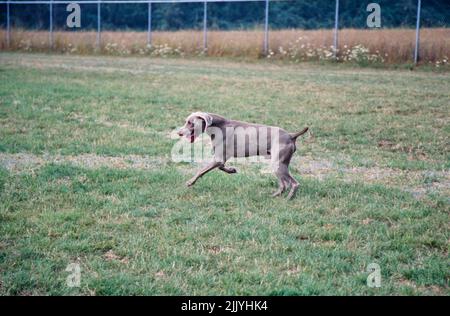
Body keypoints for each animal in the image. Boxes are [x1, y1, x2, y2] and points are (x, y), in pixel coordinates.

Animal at [178, 112, 308, 199]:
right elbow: (221, 167)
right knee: (283, 185)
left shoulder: (218, 158)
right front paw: (232, 170)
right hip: (278, 165)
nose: (179, 133)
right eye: (186, 121)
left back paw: (288, 199)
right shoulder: (222, 157)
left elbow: (201, 171)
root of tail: (291, 135)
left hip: (278, 164)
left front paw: (190, 182)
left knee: (294, 184)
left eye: (190, 123)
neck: (218, 126)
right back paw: (274, 195)